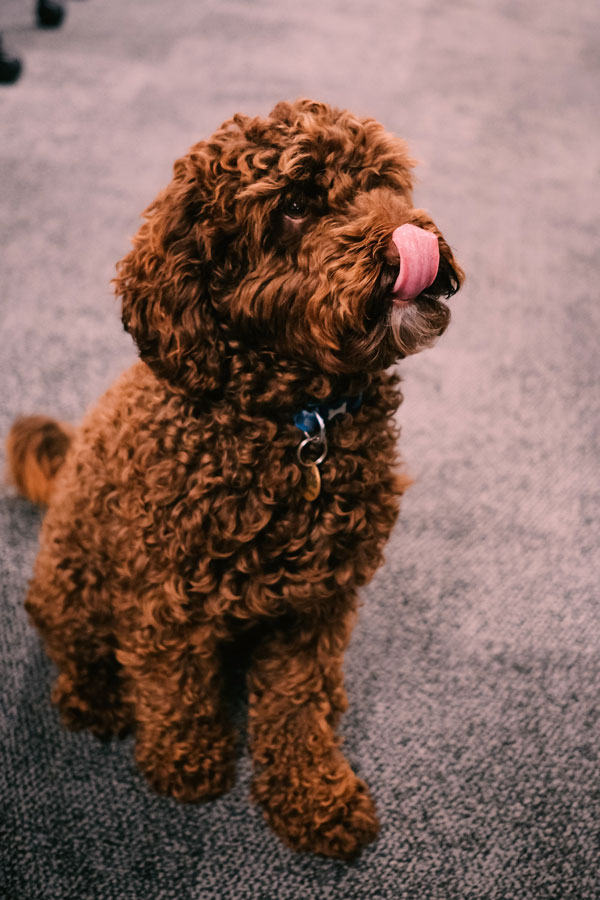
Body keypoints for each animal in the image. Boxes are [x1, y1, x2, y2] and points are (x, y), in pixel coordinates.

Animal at [5, 96, 464, 856]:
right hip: (73, 580)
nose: (413, 242)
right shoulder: (167, 595)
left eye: (387, 183)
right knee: (73, 641)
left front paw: (313, 793)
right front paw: (186, 762)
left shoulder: (315, 604)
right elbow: (176, 685)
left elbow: (294, 703)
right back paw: (95, 696)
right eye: (299, 203)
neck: (302, 422)